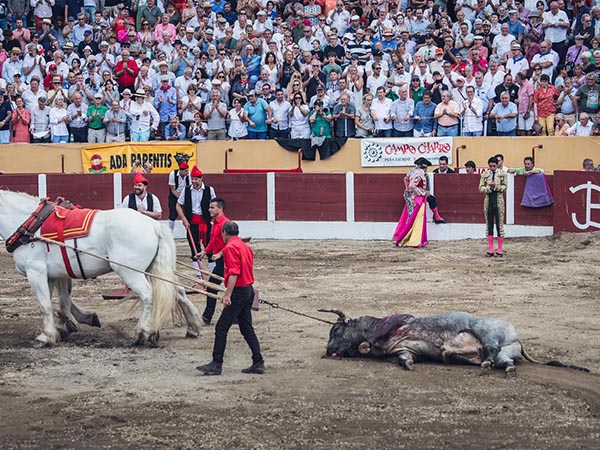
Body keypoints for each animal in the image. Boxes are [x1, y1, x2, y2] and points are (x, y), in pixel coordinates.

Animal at [0, 190, 203, 348]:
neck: (31, 226)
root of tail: (154, 225)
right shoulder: (56, 274)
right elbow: (64, 301)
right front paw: (67, 325)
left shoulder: (36, 273)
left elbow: (45, 304)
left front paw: (46, 336)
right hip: (153, 269)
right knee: (178, 292)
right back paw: (192, 326)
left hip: (130, 272)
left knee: (148, 295)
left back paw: (142, 332)